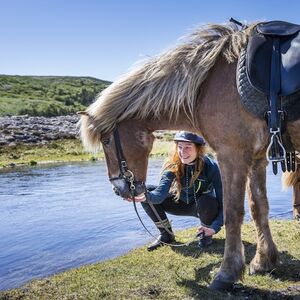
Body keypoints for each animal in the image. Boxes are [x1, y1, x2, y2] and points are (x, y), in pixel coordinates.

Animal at [78, 22, 300, 290]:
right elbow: (259, 208)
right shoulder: (258, 159)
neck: (207, 84)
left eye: (107, 141)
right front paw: (263, 262)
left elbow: (233, 213)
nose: (118, 189)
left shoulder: (231, 156)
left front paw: (226, 274)